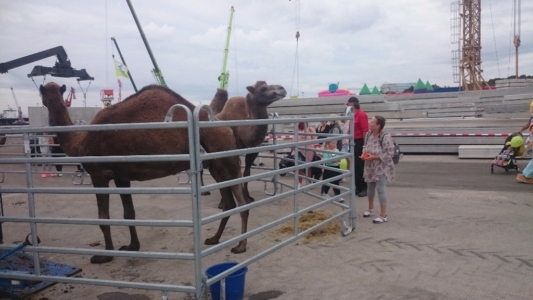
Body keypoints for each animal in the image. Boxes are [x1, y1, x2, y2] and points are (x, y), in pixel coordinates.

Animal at [40, 81, 250, 262]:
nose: (45, 100)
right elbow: (129, 212)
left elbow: (103, 217)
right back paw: (215, 239)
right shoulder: (121, 176)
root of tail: (229, 130)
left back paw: (240, 246)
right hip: (217, 167)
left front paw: (104, 255)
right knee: (231, 203)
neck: (79, 142)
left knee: (241, 202)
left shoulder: (99, 174)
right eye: (46, 92)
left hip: (226, 162)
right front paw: (132, 246)